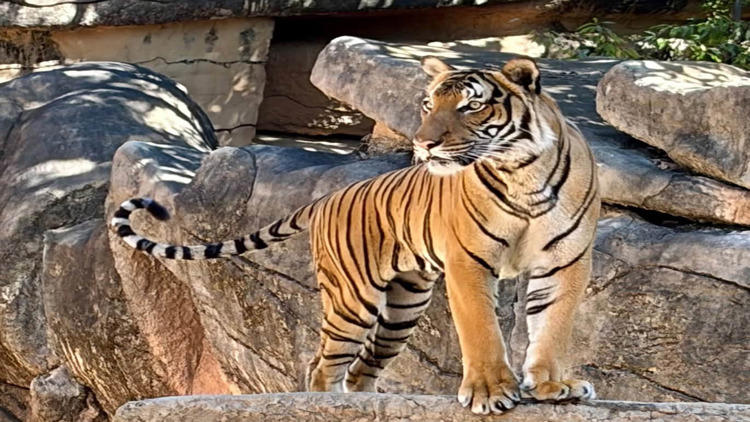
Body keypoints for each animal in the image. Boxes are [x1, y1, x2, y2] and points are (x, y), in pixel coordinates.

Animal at [111, 56, 599, 415]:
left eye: (470, 106)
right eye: (428, 105)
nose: (423, 145)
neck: (522, 174)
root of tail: (327, 198)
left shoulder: (566, 262)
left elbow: (553, 326)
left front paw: (553, 385)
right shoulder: (469, 261)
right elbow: (481, 328)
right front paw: (489, 391)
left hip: (403, 308)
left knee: (361, 369)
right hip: (352, 300)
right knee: (322, 366)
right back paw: (325, 404)